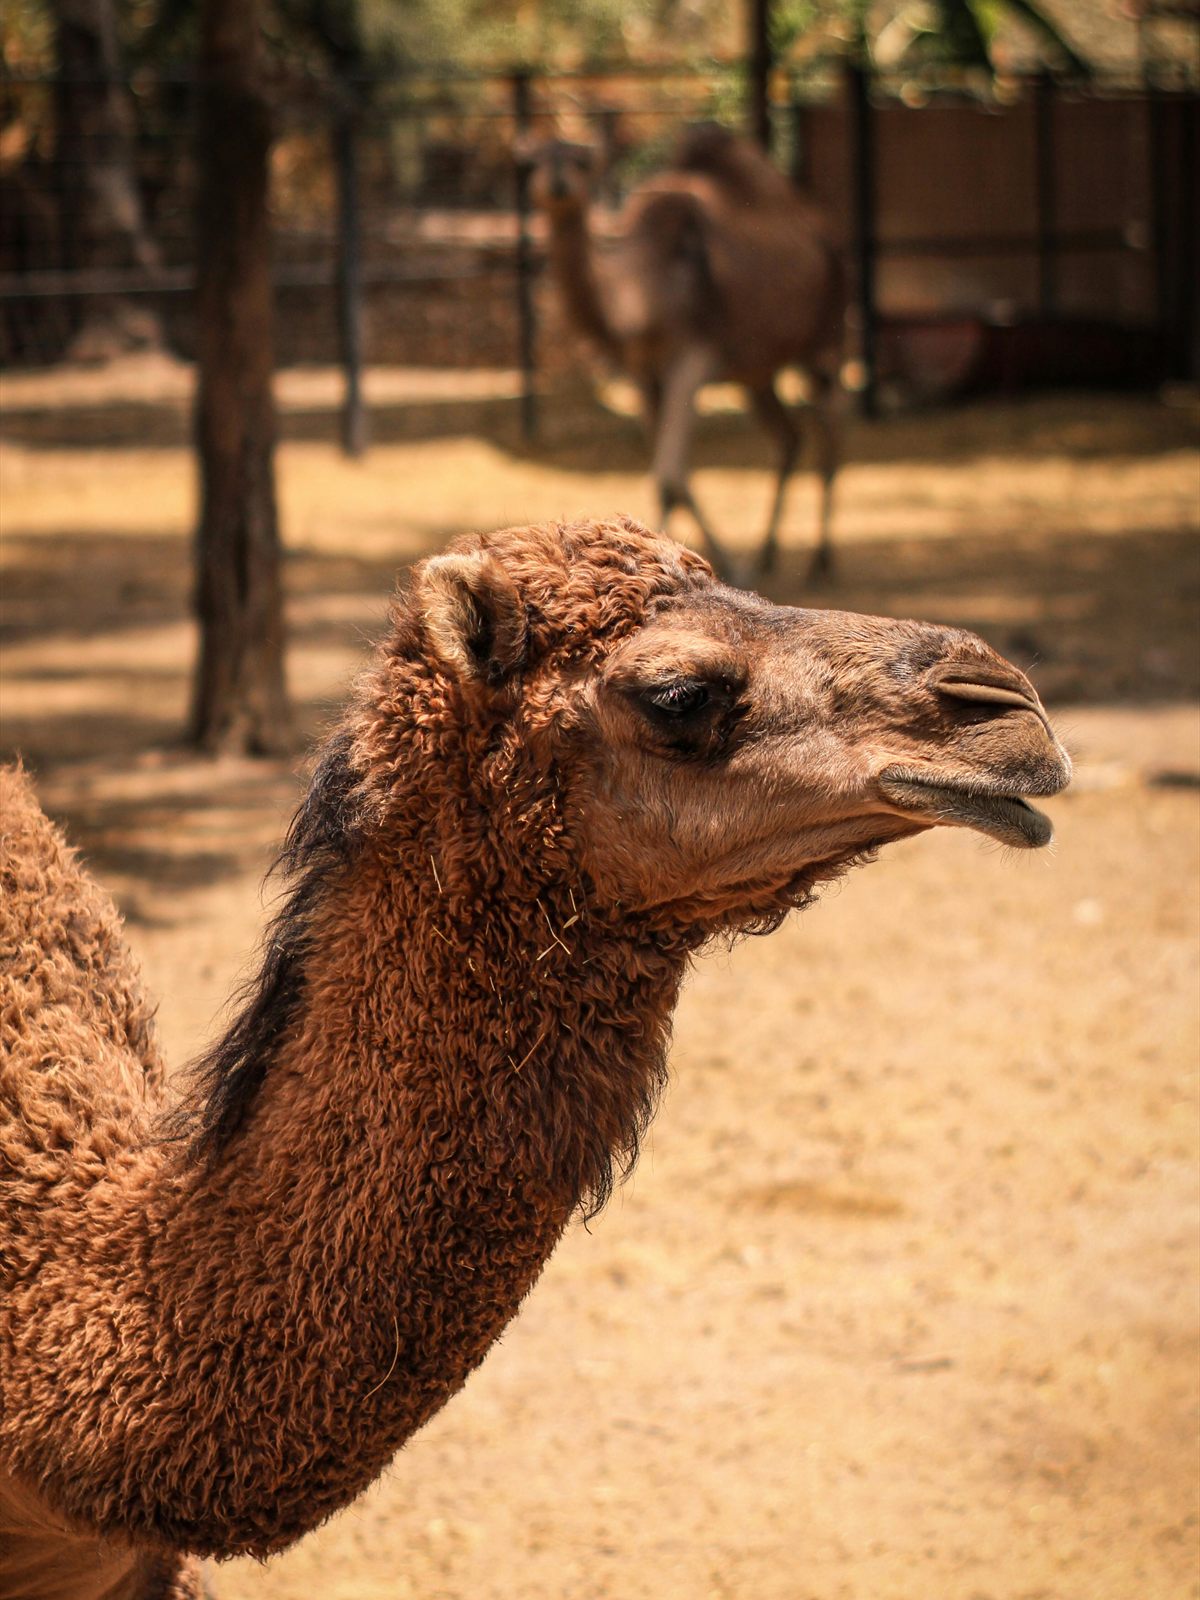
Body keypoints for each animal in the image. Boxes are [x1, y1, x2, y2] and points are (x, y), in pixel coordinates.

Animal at [527, 123, 846, 584]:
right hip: (757, 372)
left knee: (829, 428)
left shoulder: (692, 359)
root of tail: (824, 227)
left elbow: (670, 479)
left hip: (825, 337)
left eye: (582, 161)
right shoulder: (643, 374)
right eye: (530, 161)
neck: (643, 287)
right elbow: (674, 480)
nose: (557, 182)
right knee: (789, 438)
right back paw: (765, 555)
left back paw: (821, 558)